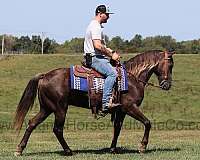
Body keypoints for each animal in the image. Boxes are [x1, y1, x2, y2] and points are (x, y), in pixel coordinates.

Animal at [13, 49, 173, 156]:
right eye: (170, 65)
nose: (167, 85)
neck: (132, 79)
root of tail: (45, 76)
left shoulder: (120, 111)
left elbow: (117, 128)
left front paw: (113, 149)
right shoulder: (130, 107)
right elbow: (147, 123)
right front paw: (142, 147)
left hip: (46, 108)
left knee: (32, 123)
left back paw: (19, 149)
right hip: (60, 108)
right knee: (57, 129)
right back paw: (68, 151)